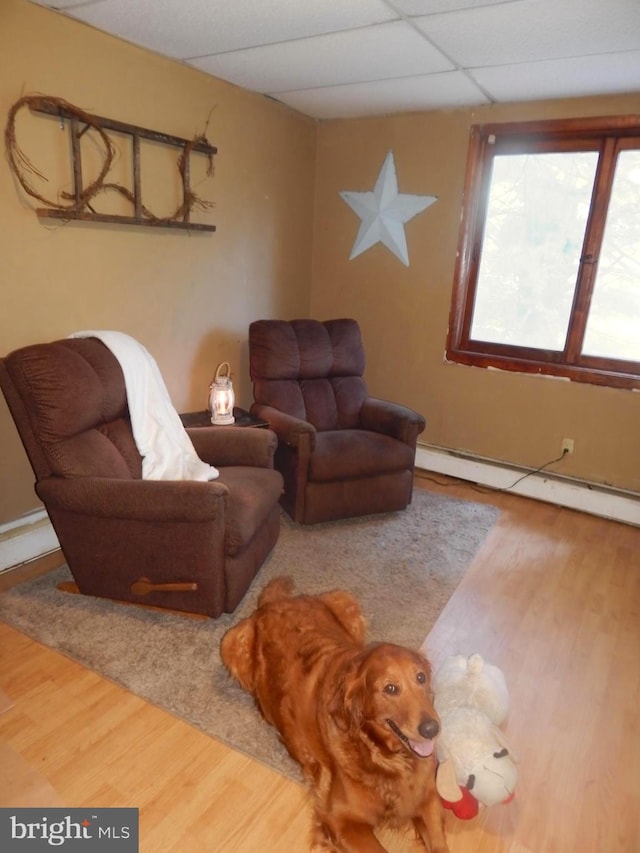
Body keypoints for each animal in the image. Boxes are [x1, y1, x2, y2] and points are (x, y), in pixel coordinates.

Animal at [222, 576, 448, 848]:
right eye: (390, 688)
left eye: (421, 678)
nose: (432, 729)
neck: (387, 758)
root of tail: (275, 602)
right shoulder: (340, 819)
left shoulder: (429, 797)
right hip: (232, 643)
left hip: (345, 600)